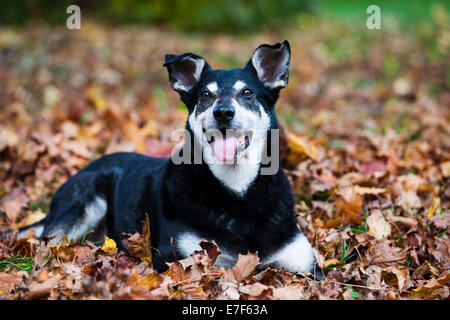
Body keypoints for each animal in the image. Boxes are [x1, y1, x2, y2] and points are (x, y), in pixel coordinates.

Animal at [15, 40, 322, 278]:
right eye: (205, 95)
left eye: (247, 92)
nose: (223, 113)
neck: (237, 190)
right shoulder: (178, 256)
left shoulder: (305, 264)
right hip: (85, 202)